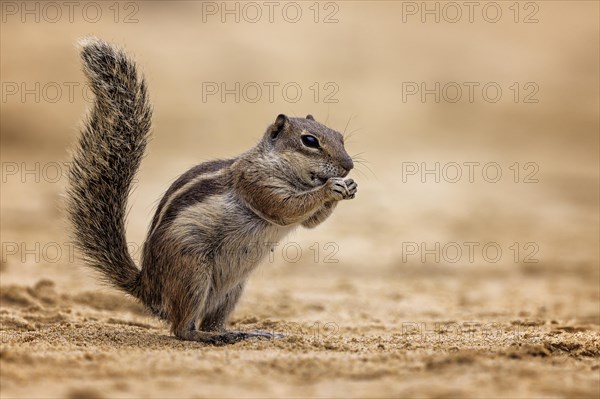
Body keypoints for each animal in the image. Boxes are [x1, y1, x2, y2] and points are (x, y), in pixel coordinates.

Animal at [67, 38, 356, 346]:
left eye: (339, 135)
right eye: (310, 141)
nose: (348, 166)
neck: (280, 167)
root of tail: (149, 289)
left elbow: (310, 221)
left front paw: (349, 187)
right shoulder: (254, 182)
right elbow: (285, 208)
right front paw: (330, 188)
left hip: (231, 289)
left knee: (212, 322)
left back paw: (245, 333)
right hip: (192, 273)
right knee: (182, 329)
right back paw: (209, 337)